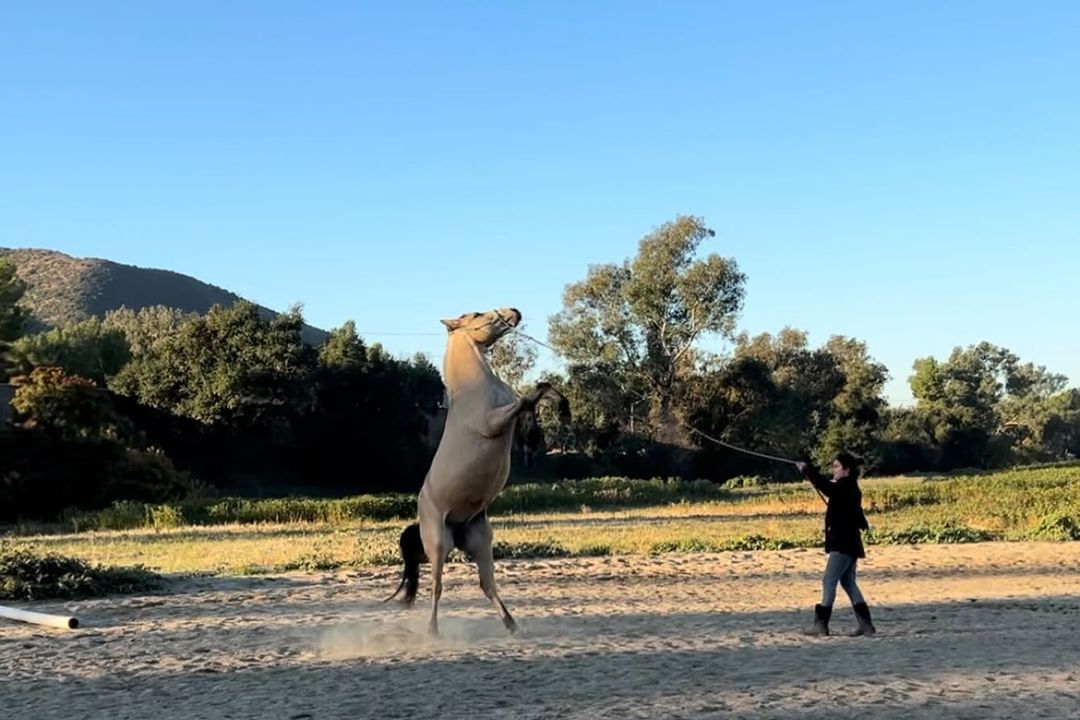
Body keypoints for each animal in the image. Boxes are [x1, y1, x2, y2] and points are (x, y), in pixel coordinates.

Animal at [384, 307, 569, 635]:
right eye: (476, 314)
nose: (515, 312)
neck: (475, 388)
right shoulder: (494, 422)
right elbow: (527, 398)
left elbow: (538, 395)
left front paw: (562, 407)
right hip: (438, 543)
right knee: (437, 587)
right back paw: (433, 631)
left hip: (480, 541)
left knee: (487, 585)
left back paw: (512, 626)